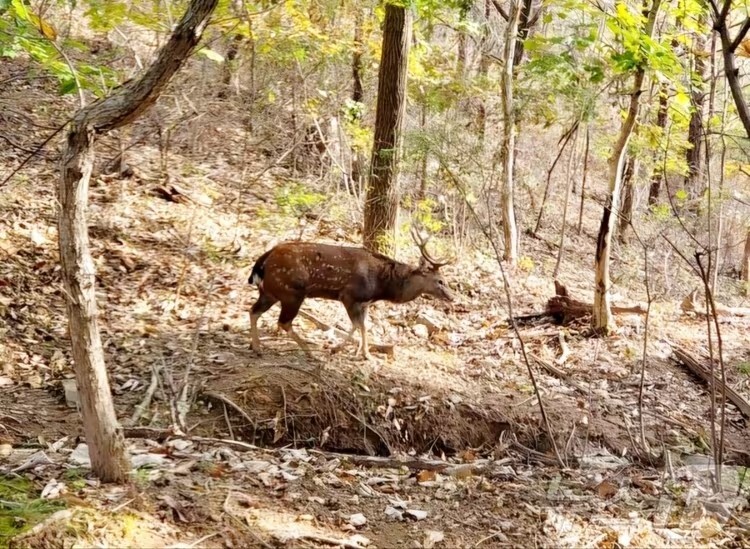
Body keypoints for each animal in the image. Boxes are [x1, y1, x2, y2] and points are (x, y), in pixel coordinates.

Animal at [250, 228, 456, 360]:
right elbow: (357, 325)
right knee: (283, 322)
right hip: (292, 292)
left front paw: (364, 353)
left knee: (253, 311)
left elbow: (364, 326)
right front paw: (340, 350)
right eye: (440, 281)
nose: (452, 297)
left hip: (270, 291)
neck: (381, 286)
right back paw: (308, 353)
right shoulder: (349, 295)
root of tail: (264, 258)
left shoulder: (365, 302)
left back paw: (257, 348)